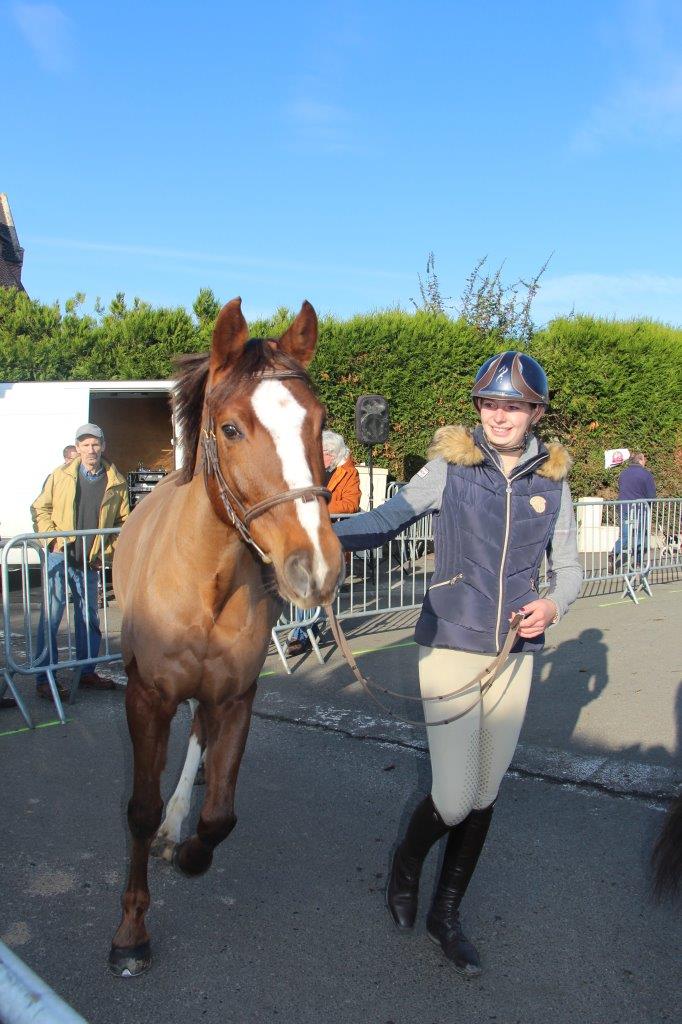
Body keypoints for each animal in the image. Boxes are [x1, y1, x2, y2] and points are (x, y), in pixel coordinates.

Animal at [108, 294, 342, 974]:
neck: (204, 583)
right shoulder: (146, 696)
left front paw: (190, 852)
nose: (316, 566)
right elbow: (138, 810)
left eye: (320, 422)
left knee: (199, 742)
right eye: (231, 428)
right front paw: (131, 931)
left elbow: (222, 818)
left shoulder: (236, 697)